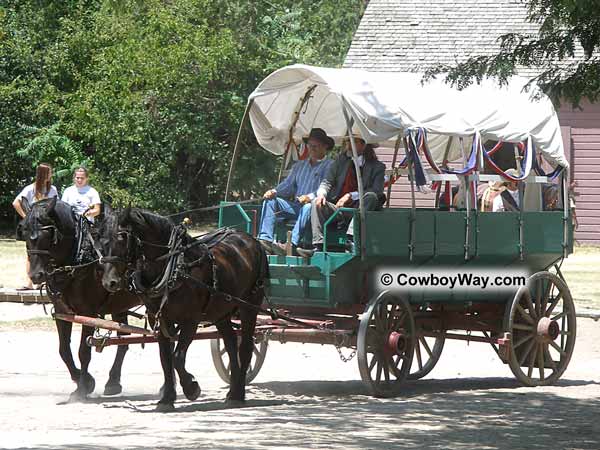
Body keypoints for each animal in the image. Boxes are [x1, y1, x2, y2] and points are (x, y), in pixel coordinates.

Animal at [22, 197, 142, 400]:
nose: (36, 275)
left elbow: (83, 351)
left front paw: (83, 387)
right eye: (24, 232)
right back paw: (113, 381)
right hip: (119, 305)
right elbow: (64, 350)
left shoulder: (89, 313)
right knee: (124, 340)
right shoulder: (62, 312)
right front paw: (81, 380)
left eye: (47, 234)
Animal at [101, 207, 270, 412]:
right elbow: (165, 358)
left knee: (245, 347)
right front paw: (167, 398)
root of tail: (252, 240)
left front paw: (191, 388)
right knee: (230, 344)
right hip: (221, 311)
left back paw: (238, 394)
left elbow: (177, 357)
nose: (109, 282)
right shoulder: (159, 320)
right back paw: (233, 390)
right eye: (104, 240)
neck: (174, 267)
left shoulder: (190, 320)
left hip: (249, 306)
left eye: (122, 238)